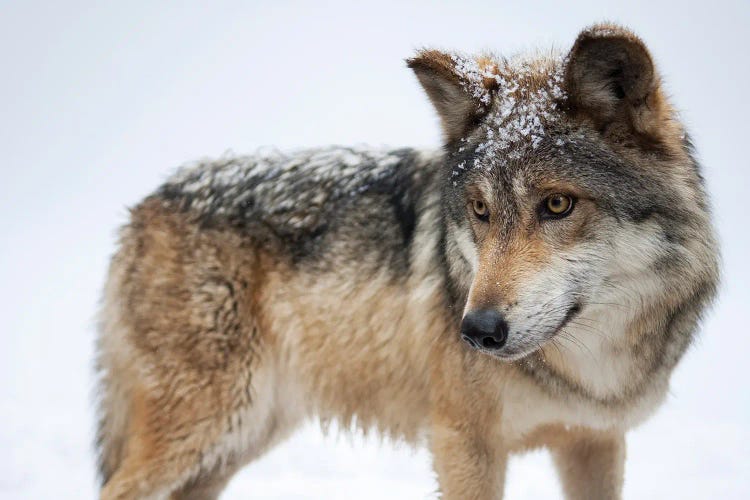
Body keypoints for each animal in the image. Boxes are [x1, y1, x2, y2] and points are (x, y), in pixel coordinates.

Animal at [95, 24, 724, 500]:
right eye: (479, 210)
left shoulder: (594, 439)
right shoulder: (463, 443)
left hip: (238, 440)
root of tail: (147, 204)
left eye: (557, 204)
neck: (590, 368)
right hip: (208, 428)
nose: (476, 331)